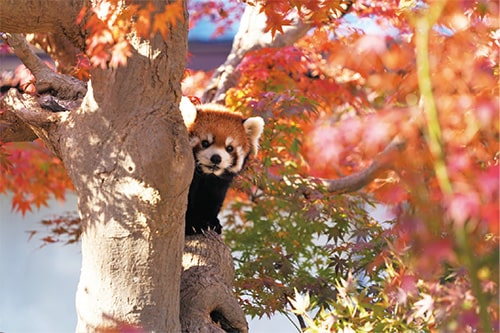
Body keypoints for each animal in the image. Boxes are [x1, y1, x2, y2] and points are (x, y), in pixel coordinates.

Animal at [181, 97, 266, 235]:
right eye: (205, 143)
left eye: (229, 148)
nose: (216, 158)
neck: (206, 174)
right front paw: (192, 225)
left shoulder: (218, 182)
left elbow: (212, 198)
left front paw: (211, 222)